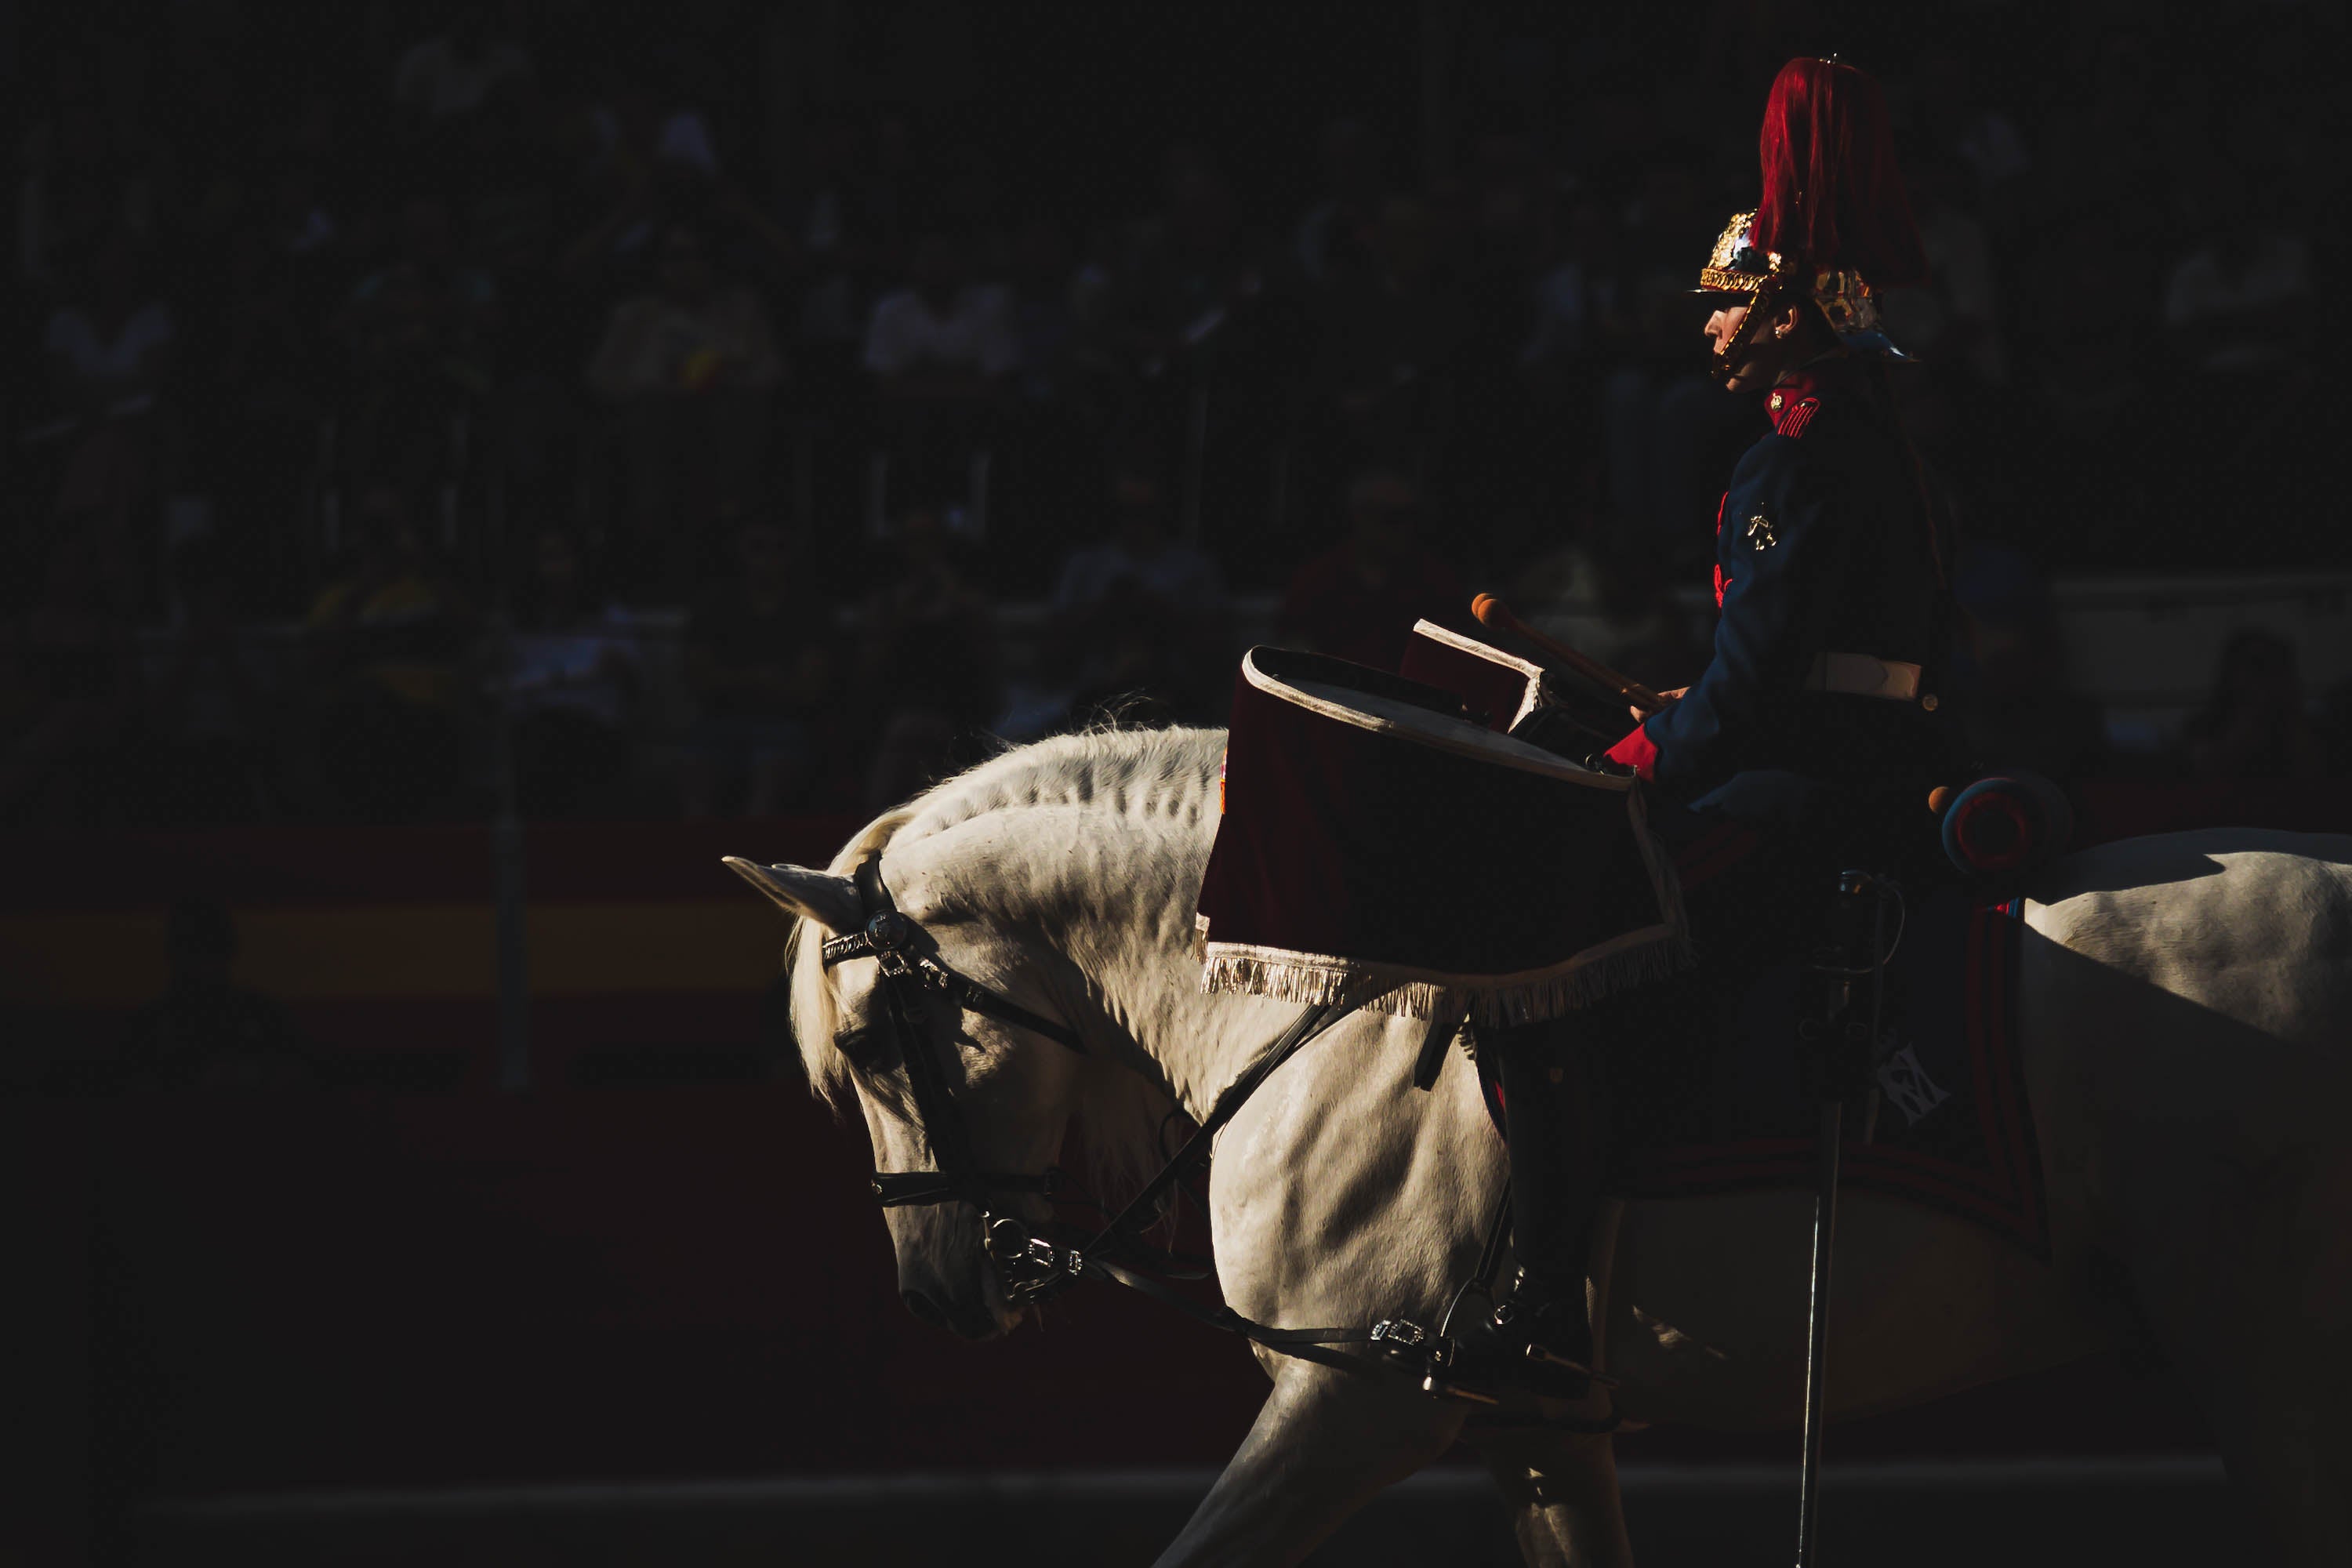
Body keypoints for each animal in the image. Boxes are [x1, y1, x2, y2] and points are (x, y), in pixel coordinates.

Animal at [734, 728, 2352, 1561]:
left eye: (870, 1048)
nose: (939, 1293)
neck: (1329, 1000)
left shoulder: (1350, 1411)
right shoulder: (1535, 1429)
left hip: (2269, 1369)